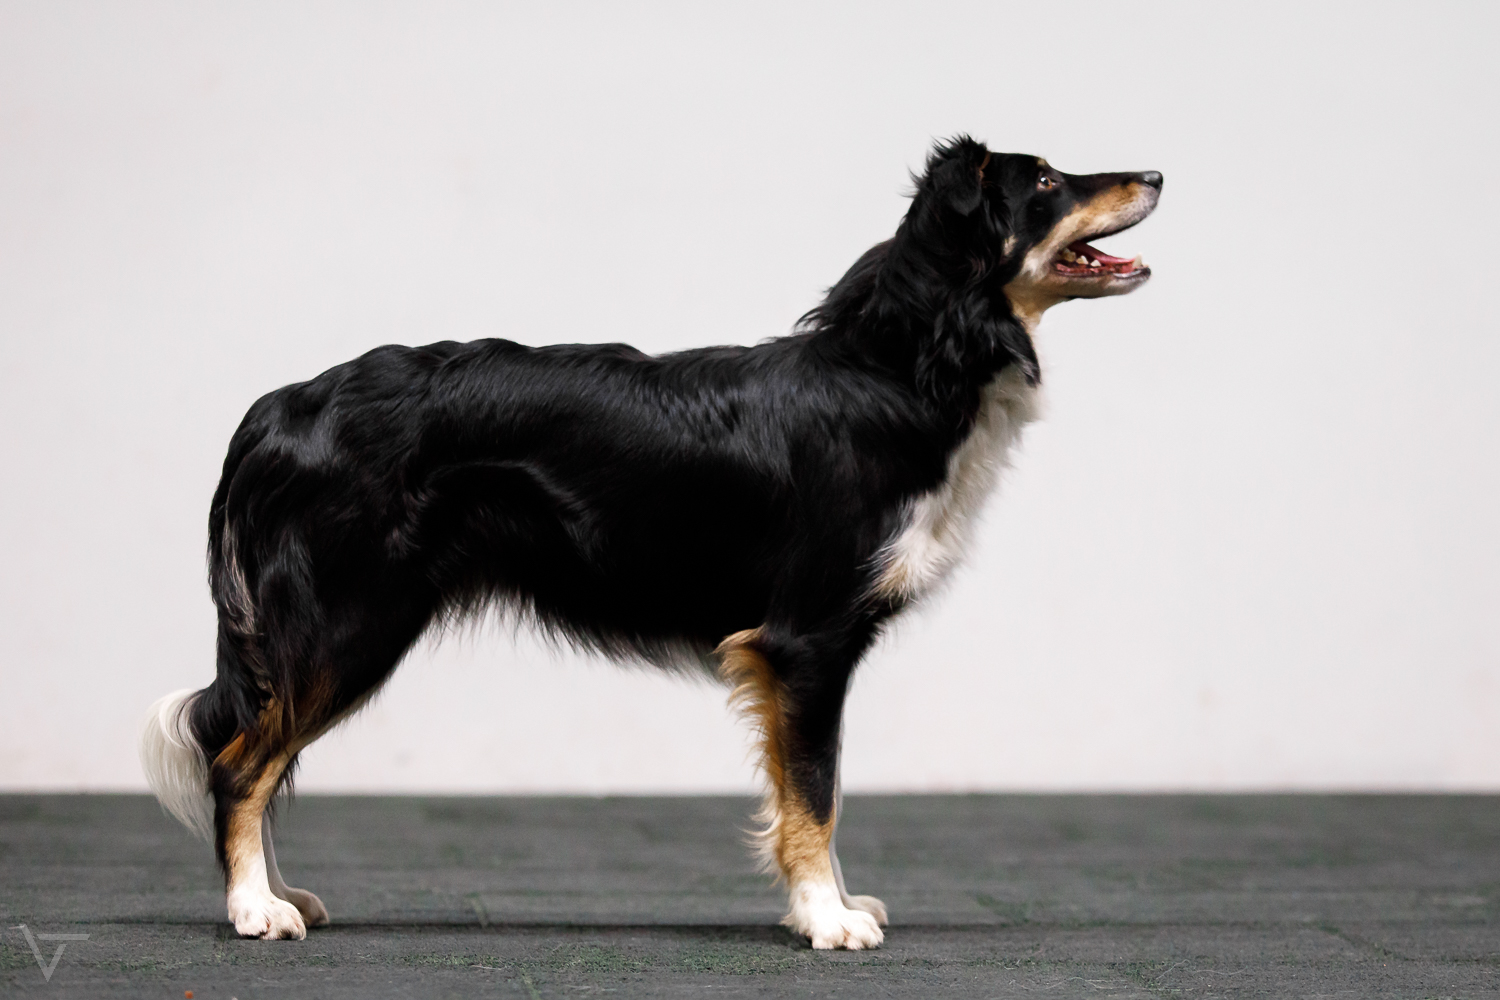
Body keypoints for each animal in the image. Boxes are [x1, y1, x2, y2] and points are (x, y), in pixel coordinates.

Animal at [141, 136, 1160, 949]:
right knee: (239, 764)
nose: (1156, 172)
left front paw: (825, 907)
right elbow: (815, 792)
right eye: (1046, 181)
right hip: (351, 618)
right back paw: (252, 909)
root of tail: (280, 407)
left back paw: (280, 895)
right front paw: (825, 920)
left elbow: (811, 787)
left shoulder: (800, 653)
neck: (902, 364)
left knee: (259, 754)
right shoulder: (805, 640)